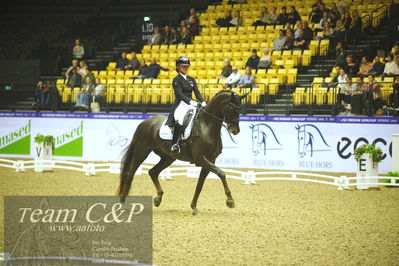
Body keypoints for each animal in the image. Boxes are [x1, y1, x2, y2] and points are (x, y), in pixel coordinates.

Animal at [119, 90, 250, 215]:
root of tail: (145, 122)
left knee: (153, 172)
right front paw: (230, 201)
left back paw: (158, 199)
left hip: (168, 157)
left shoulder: (210, 160)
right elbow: (222, 174)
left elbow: (200, 185)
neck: (206, 125)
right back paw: (123, 203)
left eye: (240, 109)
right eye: (232, 108)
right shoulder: (201, 159)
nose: (235, 130)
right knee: (130, 174)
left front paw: (194, 207)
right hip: (141, 151)